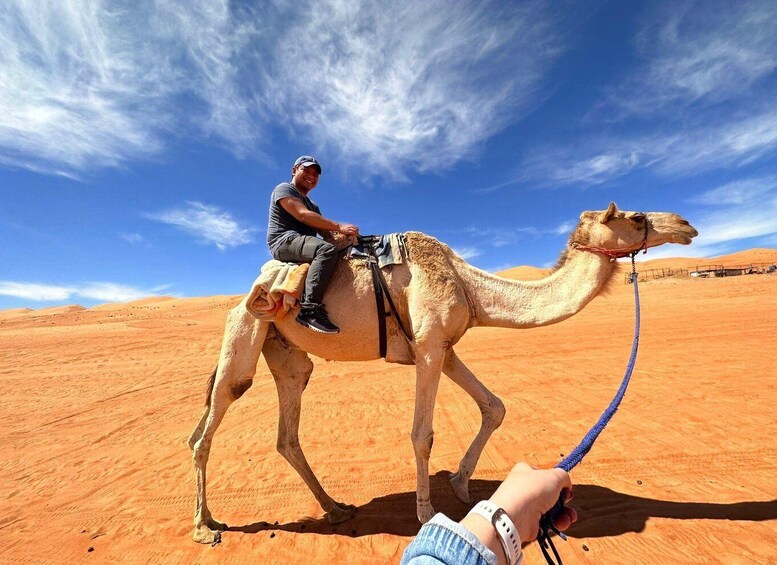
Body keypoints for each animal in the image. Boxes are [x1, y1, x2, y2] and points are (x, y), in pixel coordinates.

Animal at [188, 202, 697, 544]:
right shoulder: (430, 348)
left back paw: (335, 510)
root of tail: (248, 293)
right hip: (246, 332)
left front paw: (461, 485)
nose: (687, 224)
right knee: (207, 428)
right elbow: (422, 434)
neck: (467, 285)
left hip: (289, 355)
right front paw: (425, 511)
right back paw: (205, 526)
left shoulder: (444, 348)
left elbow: (495, 405)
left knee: (287, 435)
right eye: (635, 216)